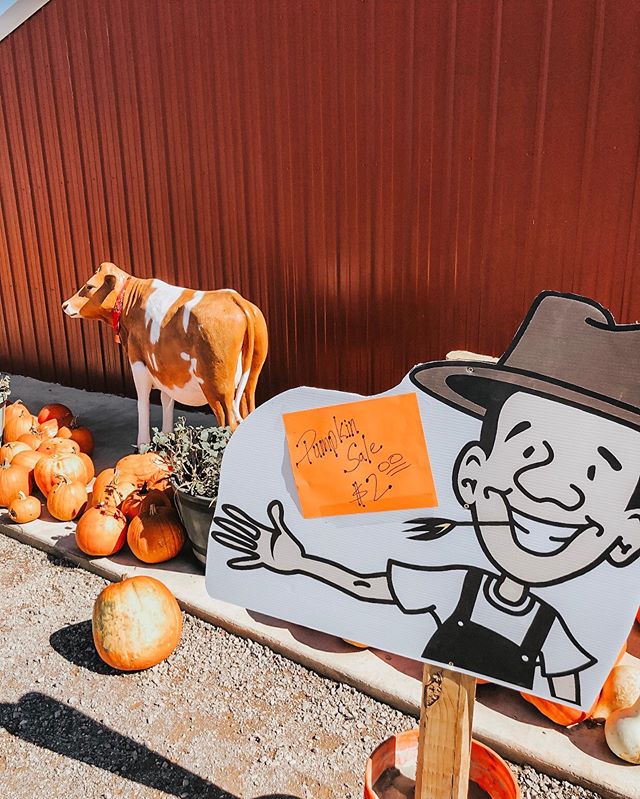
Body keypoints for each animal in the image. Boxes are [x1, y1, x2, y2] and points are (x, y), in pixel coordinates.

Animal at [62, 264, 268, 446]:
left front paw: (143, 446)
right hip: (251, 378)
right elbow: (166, 401)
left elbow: (143, 402)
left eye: (89, 286)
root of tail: (235, 298)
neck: (131, 302)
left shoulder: (138, 363)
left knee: (228, 423)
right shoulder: (165, 371)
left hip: (216, 386)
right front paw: (167, 440)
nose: (64, 305)